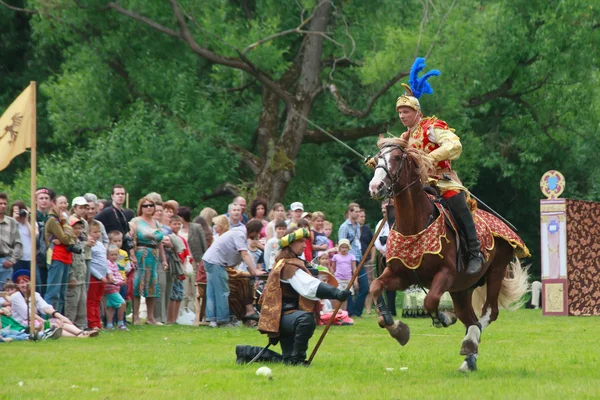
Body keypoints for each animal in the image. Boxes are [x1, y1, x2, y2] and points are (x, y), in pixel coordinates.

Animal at [366, 138, 528, 372]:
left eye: (396, 157)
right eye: (378, 158)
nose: (375, 187)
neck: (414, 226)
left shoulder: (446, 274)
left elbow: (431, 301)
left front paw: (442, 318)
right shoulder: (401, 276)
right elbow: (375, 286)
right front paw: (396, 328)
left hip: (495, 271)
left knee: (488, 313)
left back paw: (471, 340)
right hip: (461, 289)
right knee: (469, 318)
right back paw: (469, 359)